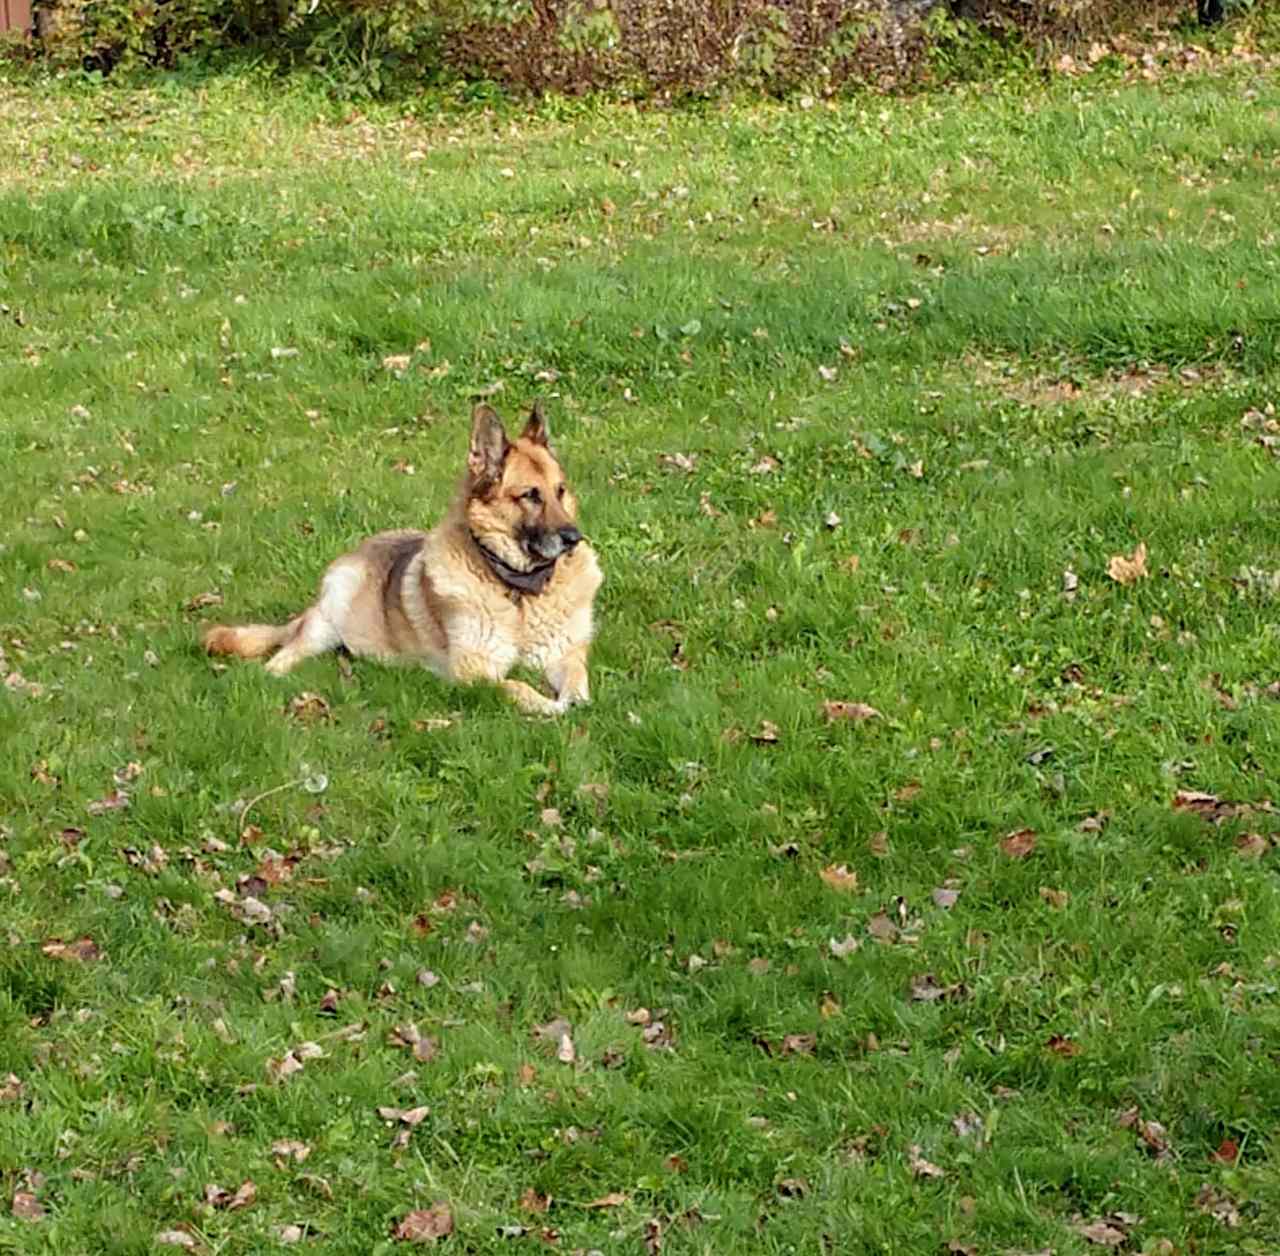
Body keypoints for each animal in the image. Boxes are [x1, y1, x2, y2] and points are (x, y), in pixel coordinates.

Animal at [202, 404, 601, 716]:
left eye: (560, 491)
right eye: (530, 495)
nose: (574, 538)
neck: (518, 591)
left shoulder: (564, 654)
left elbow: (578, 679)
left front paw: (574, 700)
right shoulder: (473, 672)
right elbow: (514, 686)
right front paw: (548, 705)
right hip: (326, 620)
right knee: (285, 653)